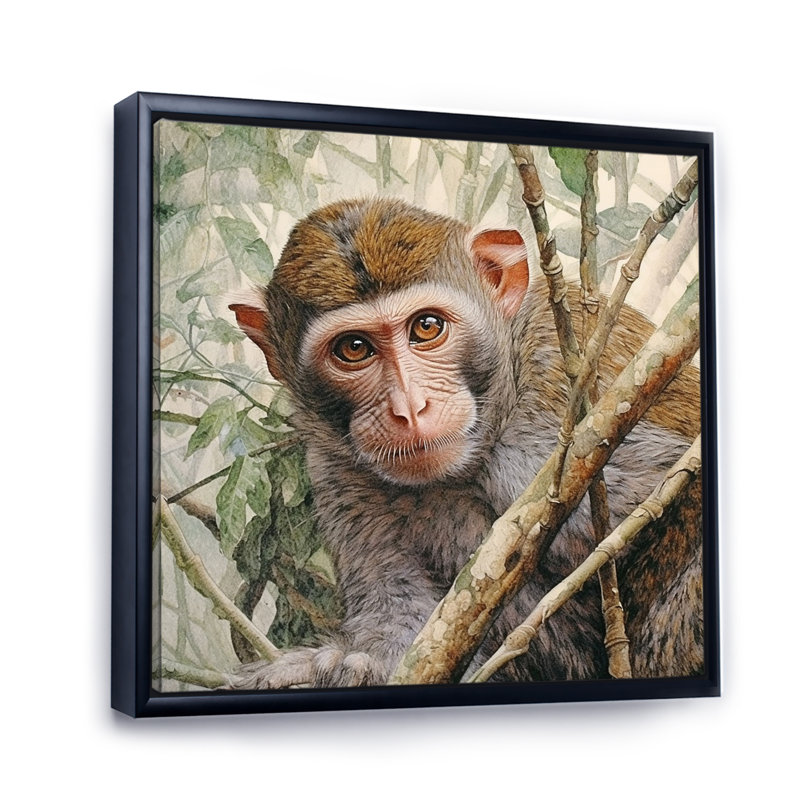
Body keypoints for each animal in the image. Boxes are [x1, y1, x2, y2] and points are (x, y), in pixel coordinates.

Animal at [228, 196, 703, 689]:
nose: (410, 407)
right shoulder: (337, 469)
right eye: (354, 348)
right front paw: (343, 667)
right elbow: (405, 625)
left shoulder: (563, 407)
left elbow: (683, 487)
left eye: (427, 327)